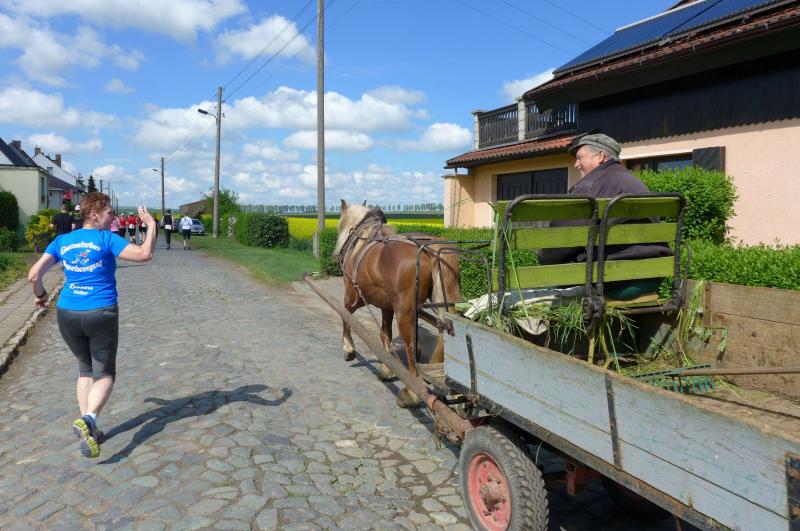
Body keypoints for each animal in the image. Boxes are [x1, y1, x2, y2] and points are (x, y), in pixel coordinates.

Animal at [334, 200, 461, 407]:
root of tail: (428, 248)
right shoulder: (387, 306)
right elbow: (385, 334)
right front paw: (387, 368)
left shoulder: (352, 297)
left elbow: (345, 316)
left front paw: (349, 348)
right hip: (437, 303)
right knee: (445, 329)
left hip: (404, 312)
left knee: (411, 348)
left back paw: (411, 392)